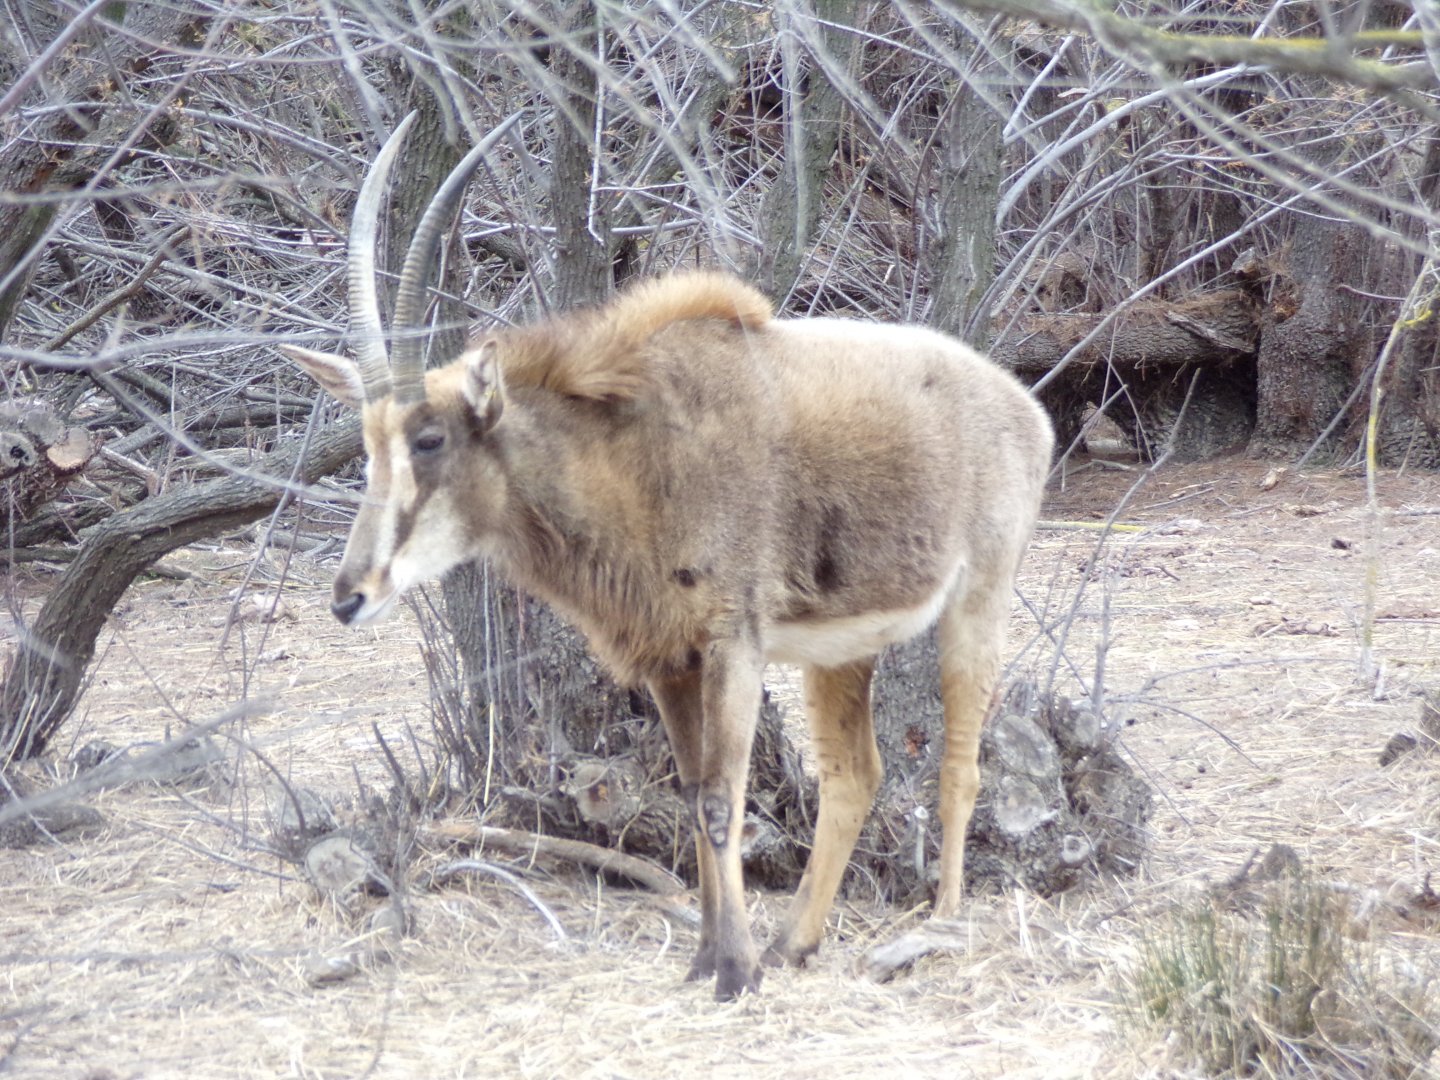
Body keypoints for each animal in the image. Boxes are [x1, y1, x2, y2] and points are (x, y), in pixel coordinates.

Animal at [281, 115, 1054, 1000]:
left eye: (431, 438)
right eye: (369, 443)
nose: (351, 594)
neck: (633, 454)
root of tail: (1024, 408)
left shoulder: (732, 644)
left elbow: (721, 798)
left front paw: (735, 972)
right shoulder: (668, 659)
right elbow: (688, 795)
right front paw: (712, 958)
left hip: (978, 601)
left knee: (961, 764)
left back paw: (941, 925)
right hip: (842, 648)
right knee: (854, 775)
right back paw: (796, 942)